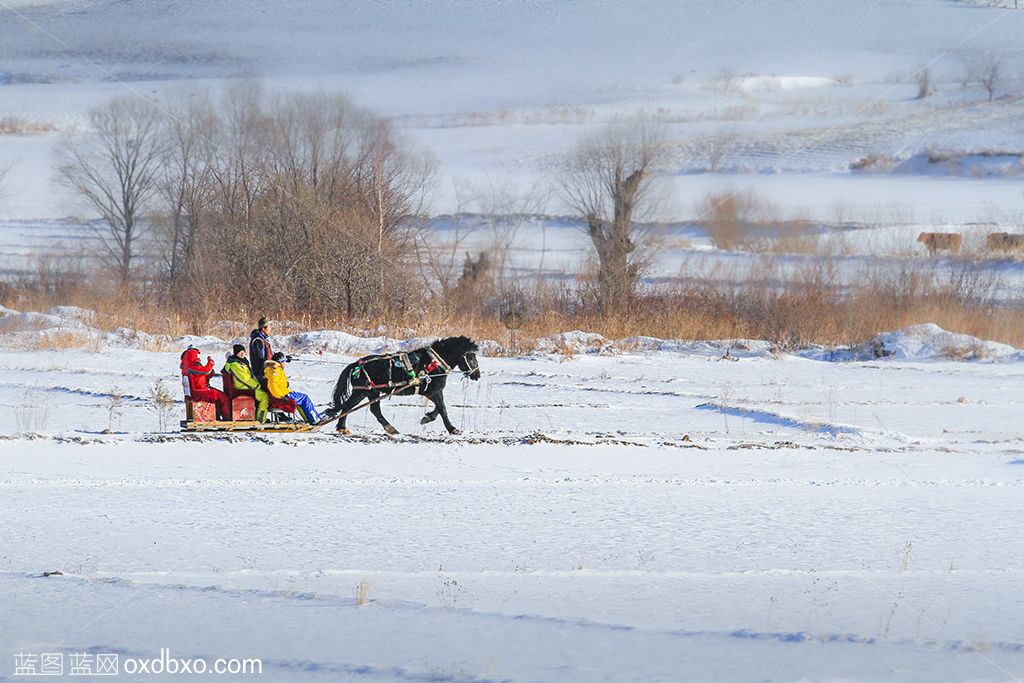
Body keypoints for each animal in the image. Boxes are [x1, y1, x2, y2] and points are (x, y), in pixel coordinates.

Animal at [331, 337, 483, 438]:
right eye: (470, 356)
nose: (477, 375)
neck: (433, 363)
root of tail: (356, 364)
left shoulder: (435, 391)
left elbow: (439, 408)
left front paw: (427, 417)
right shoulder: (431, 392)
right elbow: (442, 409)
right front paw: (452, 429)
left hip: (373, 392)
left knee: (375, 410)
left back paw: (391, 429)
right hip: (361, 392)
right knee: (348, 407)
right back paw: (342, 428)